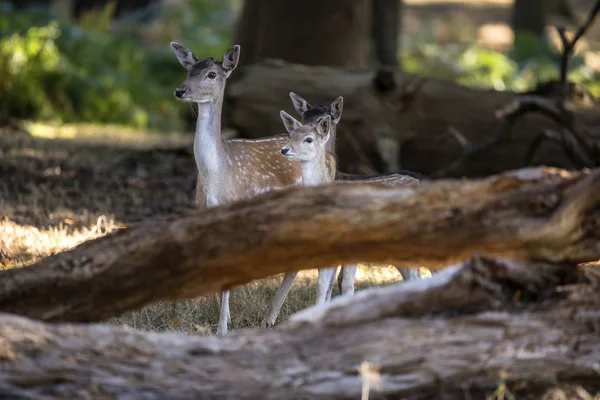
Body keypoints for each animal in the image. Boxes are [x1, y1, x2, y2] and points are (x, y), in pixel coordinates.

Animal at [171, 42, 304, 336]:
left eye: (211, 74)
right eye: (187, 70)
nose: (180, 90)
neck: (218, 176)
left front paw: (222, 329)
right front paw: (225, 318)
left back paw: (271, 319)